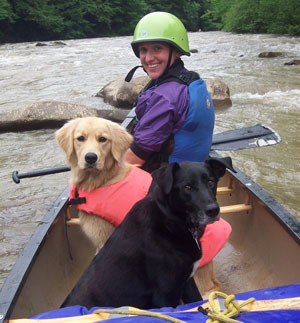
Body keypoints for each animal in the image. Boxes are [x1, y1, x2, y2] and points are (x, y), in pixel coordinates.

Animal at [61, 158, 234, 310]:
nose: (213, 210)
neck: (169, 218)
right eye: (187, 187)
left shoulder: (187, 281)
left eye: (211, 182)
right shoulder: (165, 295)